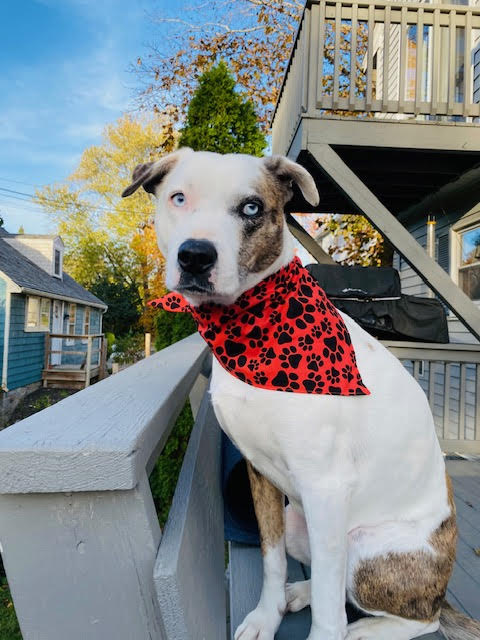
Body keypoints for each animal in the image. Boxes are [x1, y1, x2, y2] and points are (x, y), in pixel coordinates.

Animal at [123, 148, 480, 640]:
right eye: (179, 197)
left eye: (252, 208)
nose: (195, 256)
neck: (247, 331)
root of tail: (442, 589)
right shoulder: (260, 474)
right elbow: (273, 561)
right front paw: (266, 614)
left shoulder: (325, 485)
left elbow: (330, 607)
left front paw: (324, 630)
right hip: (300, 522)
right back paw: (299, 593)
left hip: (366, 548)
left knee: (414, 616)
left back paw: (362, 630)